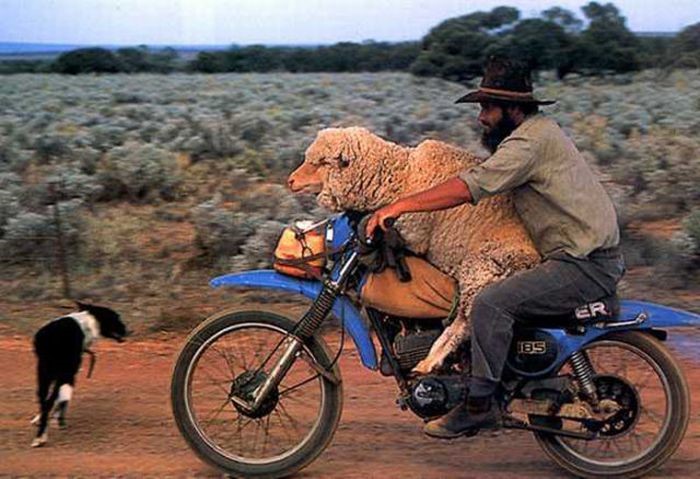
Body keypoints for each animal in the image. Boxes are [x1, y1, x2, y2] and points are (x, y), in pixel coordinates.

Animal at [31, 302, 127, 448]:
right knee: (50, 401)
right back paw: (41, 437)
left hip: (43, 373)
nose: (128, 330)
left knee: (44, 400)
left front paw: (44, 419)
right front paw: (59, 421)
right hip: (60, 373)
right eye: (116, 317)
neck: (86, 323)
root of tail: (51, 339)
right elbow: (62, 399)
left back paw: (40, 434)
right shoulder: (70, 374)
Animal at [288, 125, 540, 374]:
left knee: (466, 320)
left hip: (482, 268)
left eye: (321, 162)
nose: (290, 181)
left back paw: (430, 362)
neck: (402, 176)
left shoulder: (414, 237)